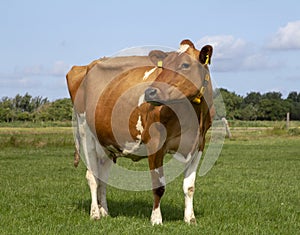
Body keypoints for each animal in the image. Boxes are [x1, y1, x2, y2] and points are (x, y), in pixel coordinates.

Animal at [67, 39, 214, 225]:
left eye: (185, 65)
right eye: (163, 67)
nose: (150, 92)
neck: (192, 116)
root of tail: (87, 66)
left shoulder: (198, 145)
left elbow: (189, 187)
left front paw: (190, 219)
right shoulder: (155, 143)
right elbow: (159, 187)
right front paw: (156, 219)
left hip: (106, 143)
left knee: (103, 179)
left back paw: (105, 211)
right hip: (85, 133)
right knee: (92, 177)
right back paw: (95, 213)